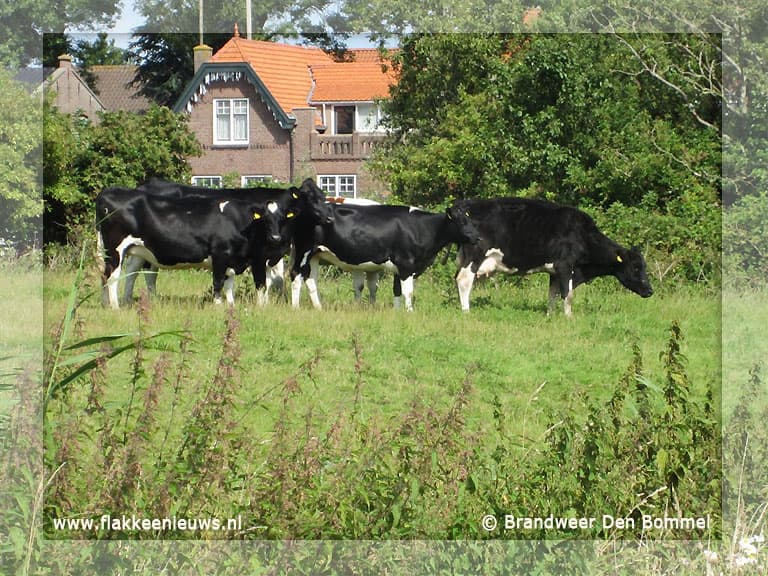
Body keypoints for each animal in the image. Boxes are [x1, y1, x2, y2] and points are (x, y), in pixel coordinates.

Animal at [96, 185, 299, 308]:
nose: (275, 237)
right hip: (115, 250)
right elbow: (221, 282)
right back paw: (115, 307)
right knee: (113, 276)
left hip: (130, 249)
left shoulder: (233, 259)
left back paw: (109, 304)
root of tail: (107, 192)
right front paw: (218, 306)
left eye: (282, 219)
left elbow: (229, 284)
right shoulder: (222, 255)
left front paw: (231, 306)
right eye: (265, 219)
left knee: (112, 274)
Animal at [290, 204, 481, 311]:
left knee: (311, 280)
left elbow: (396, 290)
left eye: (471, 220)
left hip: (315, 255)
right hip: (303, 251)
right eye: (461, 221)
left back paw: (318, 308)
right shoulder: (406, 264)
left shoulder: (400, 267)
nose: (478, 238)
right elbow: (408, 291)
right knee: (295, 276)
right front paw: (410, 312)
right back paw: (295, 307)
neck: (422, 228)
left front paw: (397, 312)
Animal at [453, 197, 653, 316]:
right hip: (475, 255)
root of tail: (465, 205)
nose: (650, 291)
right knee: (464, 279)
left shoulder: (554, 271)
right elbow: (568, 294)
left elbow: (553, 294)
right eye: (635, 267)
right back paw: (466, 311)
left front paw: (550, 315)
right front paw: (569, 317)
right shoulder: (565, 266)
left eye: (644, 267)